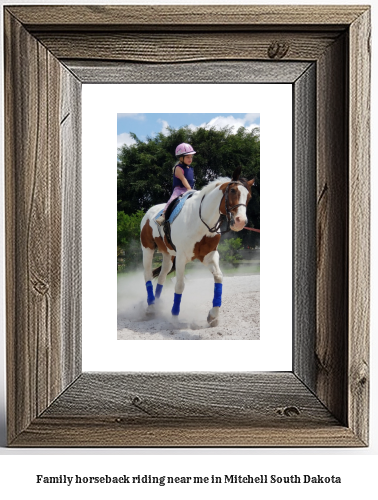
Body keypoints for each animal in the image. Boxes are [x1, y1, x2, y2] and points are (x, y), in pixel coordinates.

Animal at [139, 166, 254, 326]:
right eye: (232, 191)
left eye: (249, 196)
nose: (240, 221)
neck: (201, 221)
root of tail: (149, 212)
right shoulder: (181, 257)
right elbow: (180, 285)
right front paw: (174, 316)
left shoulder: (209, 256)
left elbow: (219, 278)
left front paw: (213, 315)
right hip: (148, 249)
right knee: (148, 275)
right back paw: (151, 308)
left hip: (168, 256)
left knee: (161, 276)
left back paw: (157, 304)